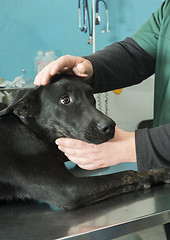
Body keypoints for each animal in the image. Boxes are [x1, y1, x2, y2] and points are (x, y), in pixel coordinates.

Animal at [0, 73, 170, 210]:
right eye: (65, 100)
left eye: (91, 95)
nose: (110, 126)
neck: (30, 130)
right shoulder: (68, 189)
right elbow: (126, 174)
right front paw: (157, 173)